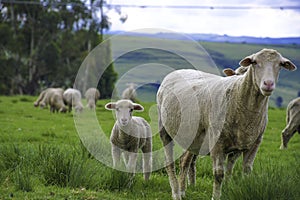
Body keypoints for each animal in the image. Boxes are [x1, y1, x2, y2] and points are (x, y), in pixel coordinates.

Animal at [156, 48, 296, 200]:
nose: (268, 84)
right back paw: (176, 193)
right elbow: (219, 174)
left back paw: (182, 191)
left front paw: (229, 189)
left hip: (192, 137)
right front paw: (216, 196)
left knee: (185, 161)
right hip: (164, 130)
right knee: (169, 163)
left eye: (280, 64)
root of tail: (175, 72)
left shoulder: (252, 144)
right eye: (254, 62)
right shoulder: (217, 142)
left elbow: (241, 171)